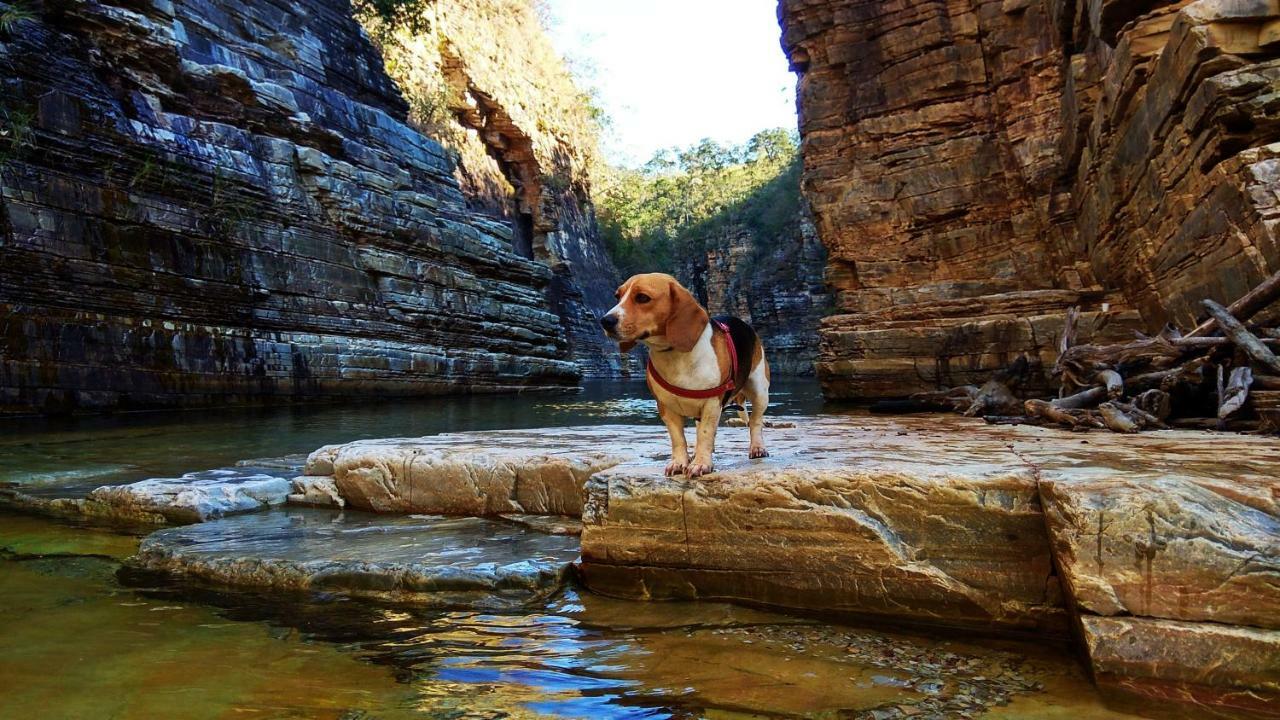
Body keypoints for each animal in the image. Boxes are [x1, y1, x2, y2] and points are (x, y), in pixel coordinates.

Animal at [599, 272, 768, 476]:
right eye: (618, 296)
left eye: (642, 298)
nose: (605, 321)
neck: (674, 354)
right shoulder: (665, 407)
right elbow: (678, 438)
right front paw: (680, 462)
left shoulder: (712, 404)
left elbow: (705, 434)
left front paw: (701, 464)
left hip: (760, 391)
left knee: (755, 422)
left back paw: (757, 448)